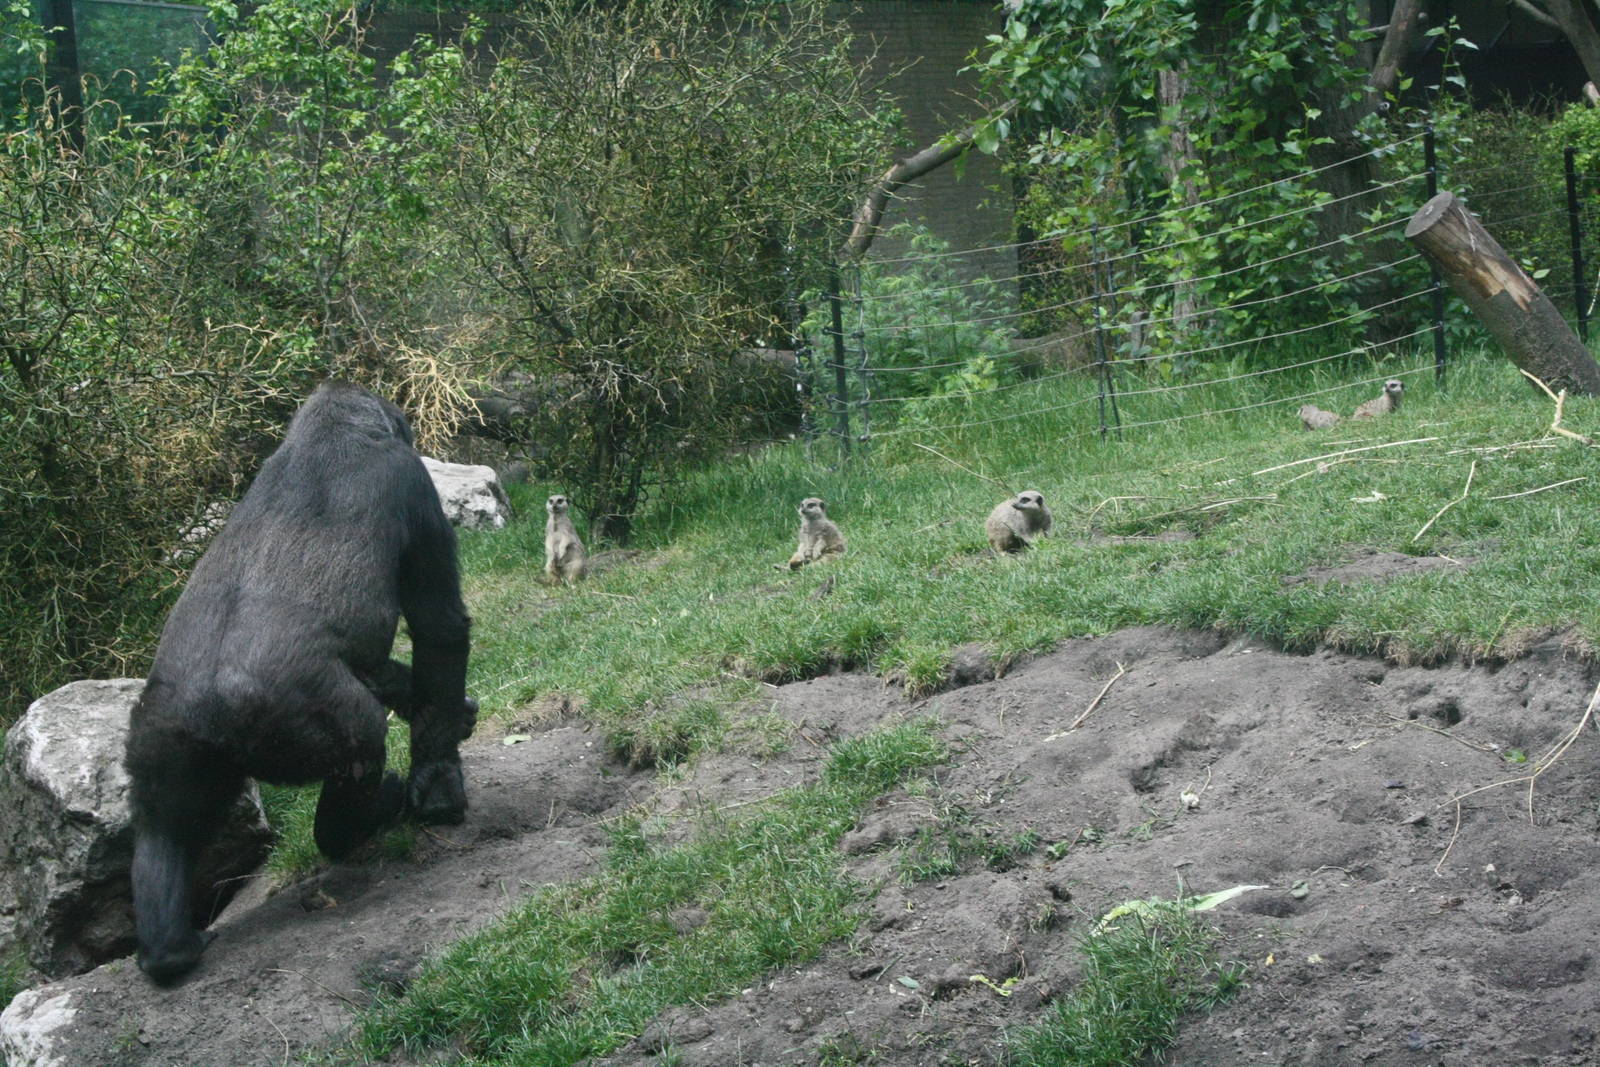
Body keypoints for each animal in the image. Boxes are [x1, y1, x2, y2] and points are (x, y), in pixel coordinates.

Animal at [124, 382, 474, 985]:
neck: (328, 431)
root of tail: (208, 708)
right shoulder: (410, 479)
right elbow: (440, 627)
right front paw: (437, 782)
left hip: (162, 731)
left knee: (164, 825)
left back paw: (170, 950)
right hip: (303, 720)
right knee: (358, 754)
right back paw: (365, 819)